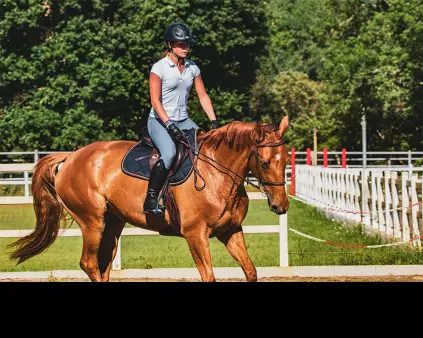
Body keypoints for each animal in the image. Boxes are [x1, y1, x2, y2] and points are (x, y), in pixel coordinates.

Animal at [8, 117, 290, 282]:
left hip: (112, 223)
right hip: (92, 222)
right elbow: (208, 275)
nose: (281, 205)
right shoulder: (195, 234)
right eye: (265, 163)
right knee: (89, 263)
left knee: (103, 264)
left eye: (287, 159)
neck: (216, 173)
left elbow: (250, 270)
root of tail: (71, 157)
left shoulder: (230, 230)